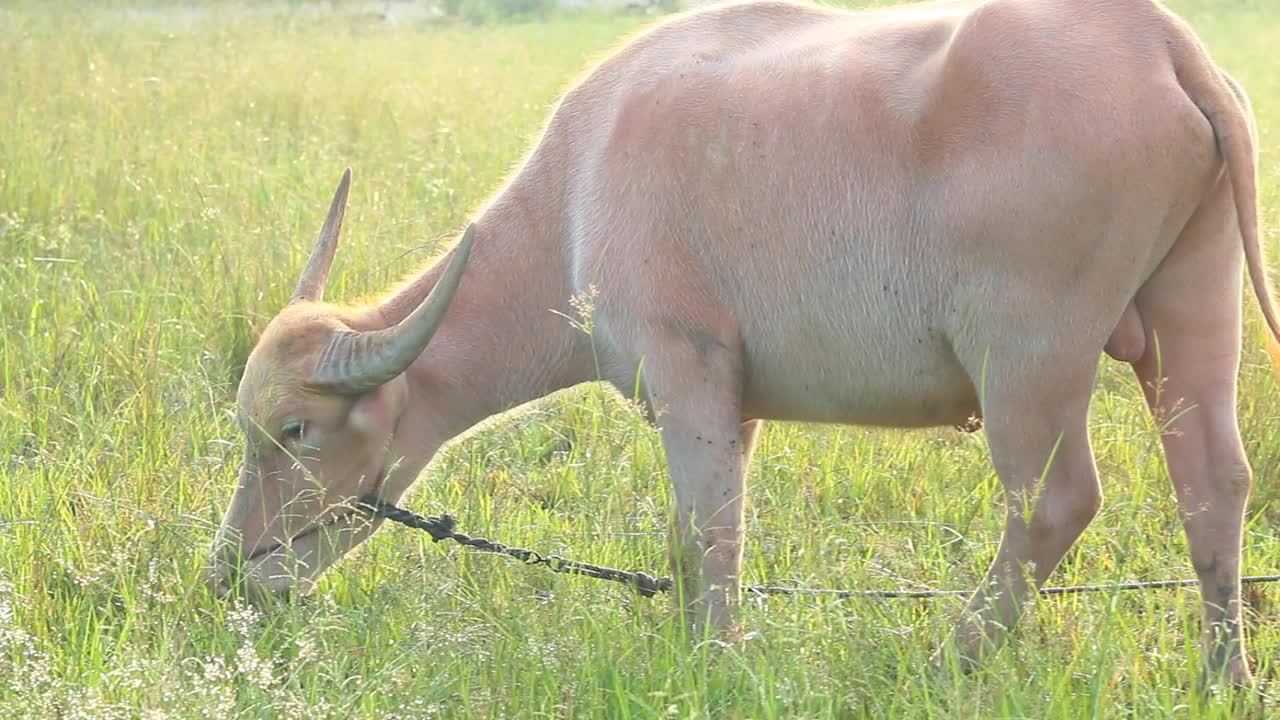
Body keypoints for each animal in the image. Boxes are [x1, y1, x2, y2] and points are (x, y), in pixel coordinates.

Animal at [209, 0, 1269, 681]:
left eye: (295, 431)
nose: (230, 575)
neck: (576, 192)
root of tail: (1161, 41)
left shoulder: (689, 375)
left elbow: (711, 535)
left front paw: (717, 666)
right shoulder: (732, 406)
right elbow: (695, 542)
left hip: (1026, 358)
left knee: (1056, 500)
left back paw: (946, 661)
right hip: (1192, 310)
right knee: (1213, 481)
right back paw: (1223, 673)